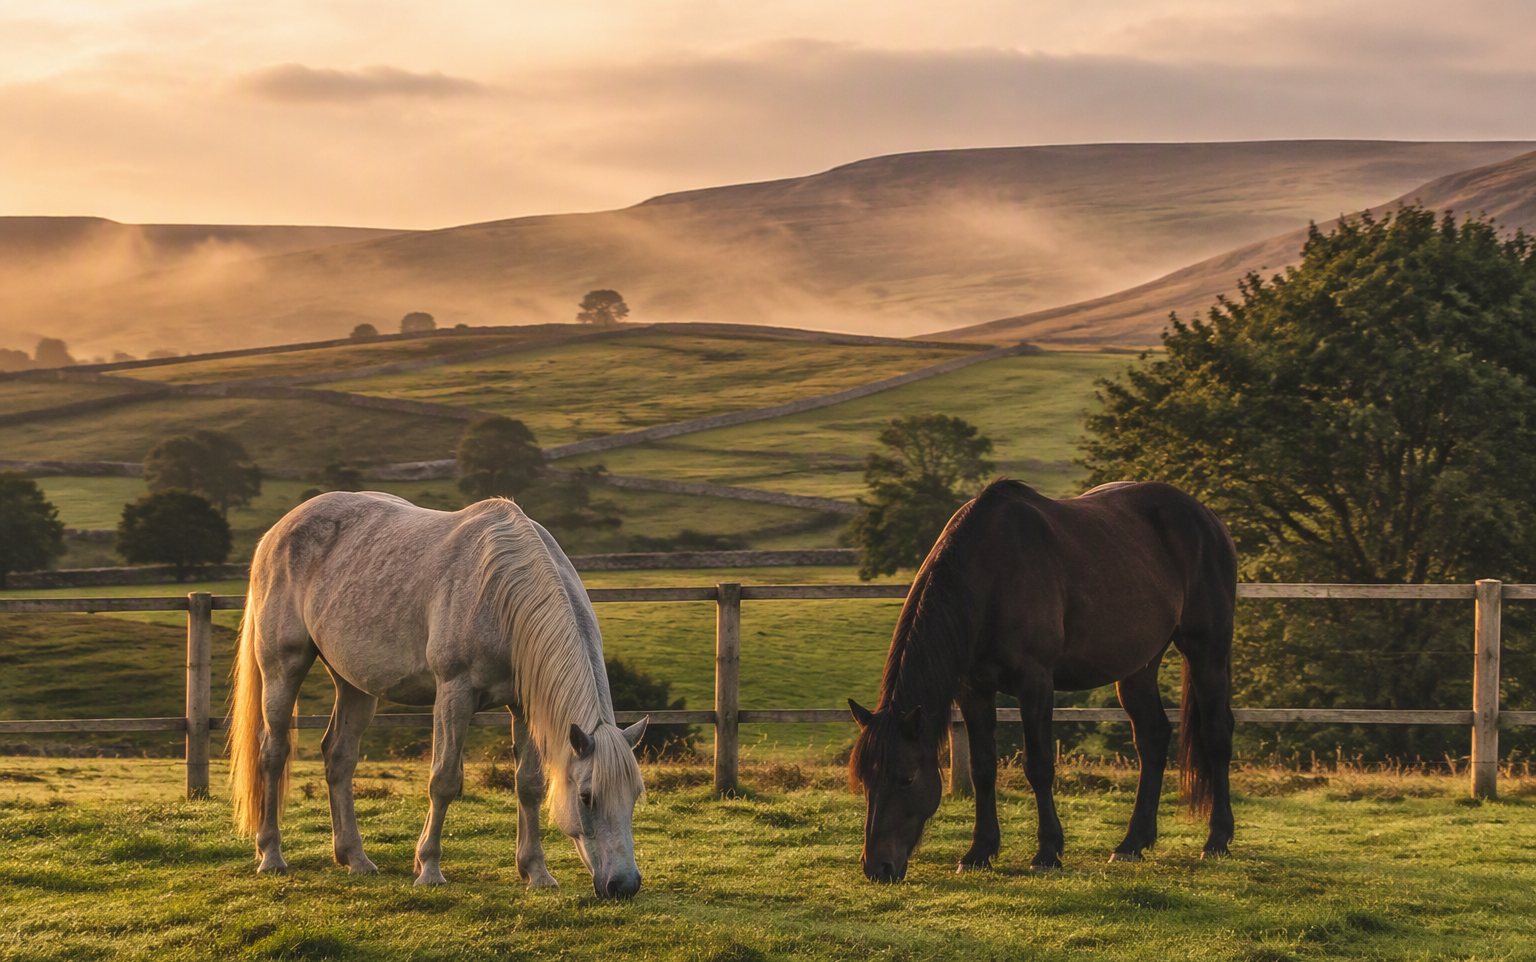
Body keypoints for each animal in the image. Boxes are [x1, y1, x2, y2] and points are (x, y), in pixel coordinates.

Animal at [227, 491, 649, 897]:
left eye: (635, 796)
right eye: (587, 797)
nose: (624, 885)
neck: (500, 590)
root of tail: (277, 532)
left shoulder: (523, 706)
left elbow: (529, 785)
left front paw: (536, 872)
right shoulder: (454, 693)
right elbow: (444, 780)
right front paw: (428, 868)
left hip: (354, 685)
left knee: (339, 757)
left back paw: (355, 858)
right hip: (283, 667)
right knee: (273, 752)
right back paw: (271, 855)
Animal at [848, 479, 1237, 881]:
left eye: (906, 777)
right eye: (864, 778)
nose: (877, 867)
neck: (991, 575)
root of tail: (1207, 518)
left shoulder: (1034, 683)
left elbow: (1038, 765)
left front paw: (1047, 851)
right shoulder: (974, 689)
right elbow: (983, 767)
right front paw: (979, 851)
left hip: (1207, 650)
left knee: (1217, 735)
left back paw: (1217, 840)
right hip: (1138, 666)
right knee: (1152, 738)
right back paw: (1131, 844)